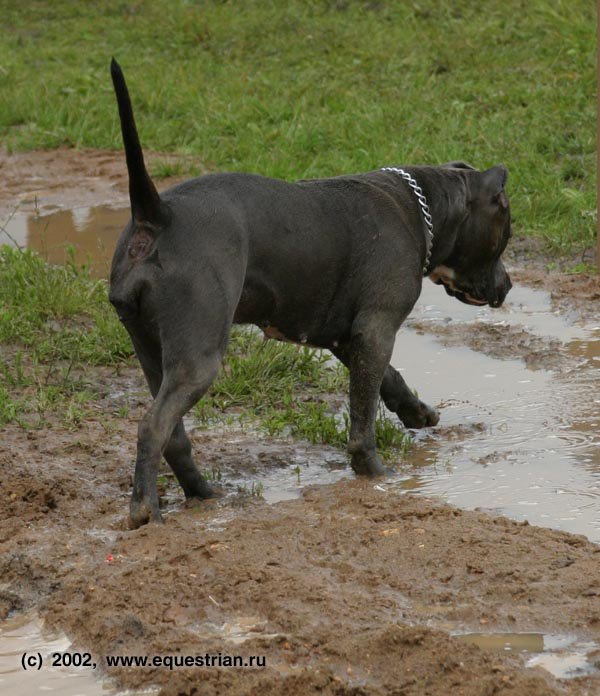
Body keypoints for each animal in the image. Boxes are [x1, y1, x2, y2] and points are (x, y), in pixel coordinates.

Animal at [108, 59, 510, 528]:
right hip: (198, 358)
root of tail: (158, 215)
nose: (508, 285)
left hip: (151, 351)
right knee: (152, 426)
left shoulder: (346, 336)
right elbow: (362, 416)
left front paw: (416, 412)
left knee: (173, 435)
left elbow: (388, 379)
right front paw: (374, 473)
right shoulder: (377, 330)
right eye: (506, 230)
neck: (422, 206)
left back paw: (206, 495)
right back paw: (145, 509)